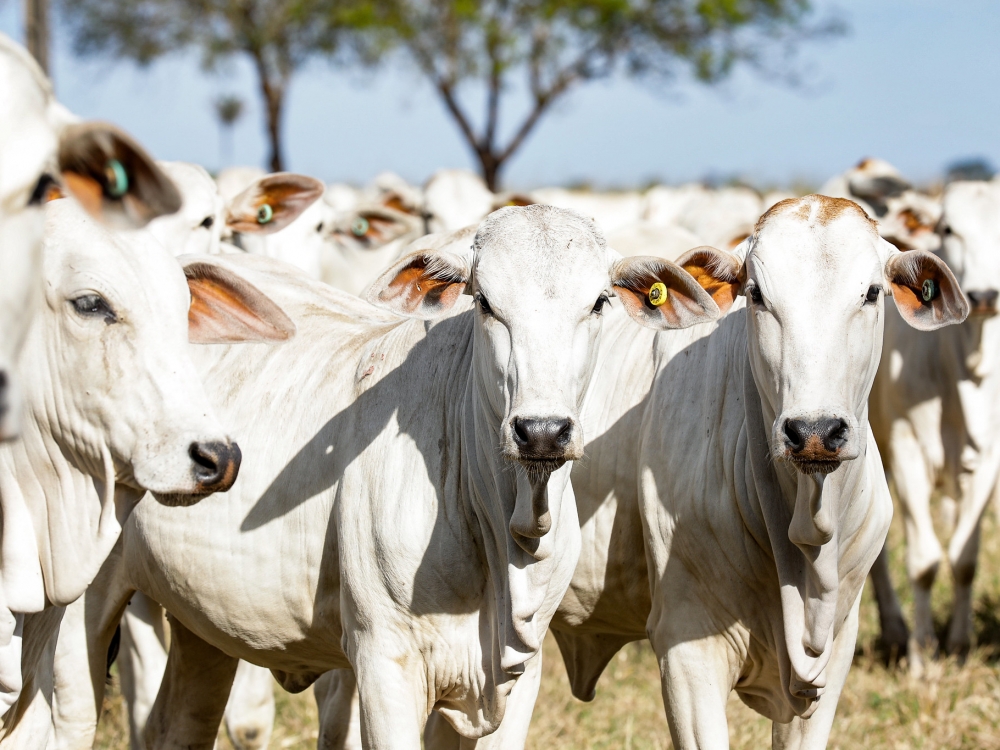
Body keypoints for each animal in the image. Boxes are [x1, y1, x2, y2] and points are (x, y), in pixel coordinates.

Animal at [48, 206, 728, 750]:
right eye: (485, 303)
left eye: (598, 303)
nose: (541, 431)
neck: (499, 527)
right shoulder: (385, 666)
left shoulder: (516, 678)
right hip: (78, 612)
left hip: (202, 624)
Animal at [868, 178, 1000, 668]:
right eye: (948, 229)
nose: (984, 297)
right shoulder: (907, 449)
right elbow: (924, 561)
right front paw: (923, 656)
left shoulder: (988, 461)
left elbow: (964, 559)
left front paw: (959, 646)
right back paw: (894, 630)